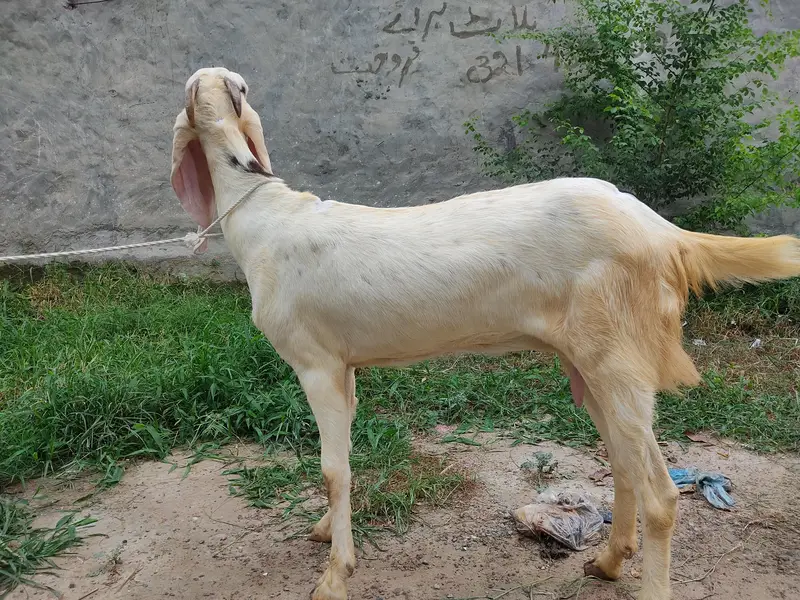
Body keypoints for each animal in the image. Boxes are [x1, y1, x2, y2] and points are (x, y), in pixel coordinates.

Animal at [170, 67, 800, 600]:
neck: (263, 218)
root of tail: (666, 235)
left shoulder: (315, 361)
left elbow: (331, 469)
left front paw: (334, 576)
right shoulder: (345, 363)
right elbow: (344, 456)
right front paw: (328, 531)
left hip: (618, 353)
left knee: (662, 494)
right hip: (589, 360)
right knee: (623, 460)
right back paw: (606, 561)